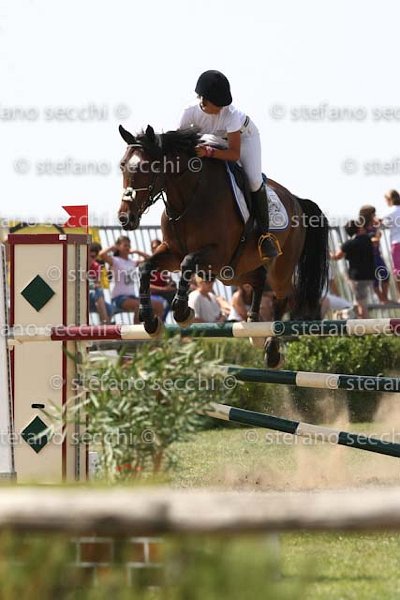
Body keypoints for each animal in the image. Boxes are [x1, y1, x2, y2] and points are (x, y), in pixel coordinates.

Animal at [118, 124, 329, 368]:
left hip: (277, 269)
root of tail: (295, 200)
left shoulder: (217, 255)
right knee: (258, 280)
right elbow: (146, 267)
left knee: (281, 298)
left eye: (147, 166)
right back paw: (254, 327)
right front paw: (149, 320)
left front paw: (182, 311)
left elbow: (187, 263)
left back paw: (272, 351)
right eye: (122, 165)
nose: (125, 218)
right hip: (233, 272)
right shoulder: (172, 252)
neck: (188, 199)